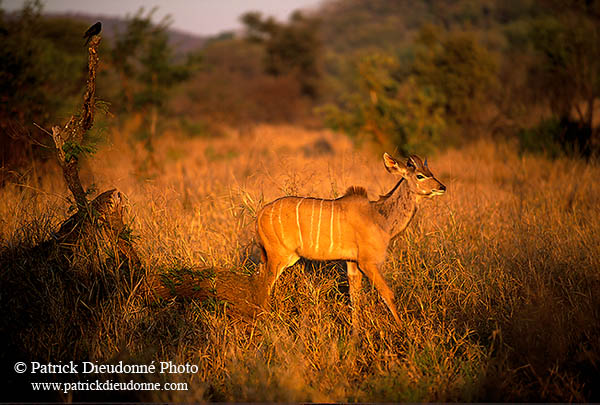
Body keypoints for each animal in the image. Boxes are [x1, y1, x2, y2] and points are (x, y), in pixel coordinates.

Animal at [253, 153, 446, 324]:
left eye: (431, 172)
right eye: (420, 175)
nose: (442, 187)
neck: (378, 216)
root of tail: (260, 214)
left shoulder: (352, 263)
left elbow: (355, 298)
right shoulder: (368, 262)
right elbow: (388, 294)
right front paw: (402, 329)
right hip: (279, 256)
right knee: (264, 288)